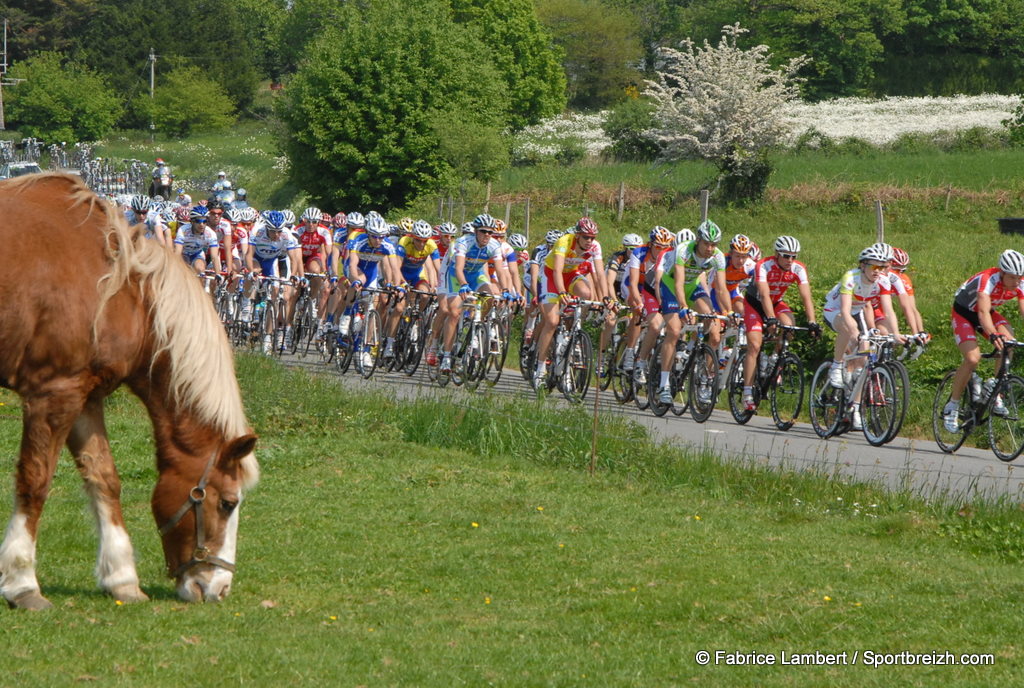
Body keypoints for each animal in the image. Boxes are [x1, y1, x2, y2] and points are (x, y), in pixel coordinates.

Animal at [0, 173, 260, 606]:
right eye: (228, 503)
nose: (219, 588)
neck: (120, 288)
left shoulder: (84, 395)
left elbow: (104, 478)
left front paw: (121, 577)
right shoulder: (53, 392)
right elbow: (35, 481)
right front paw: (22, 581)